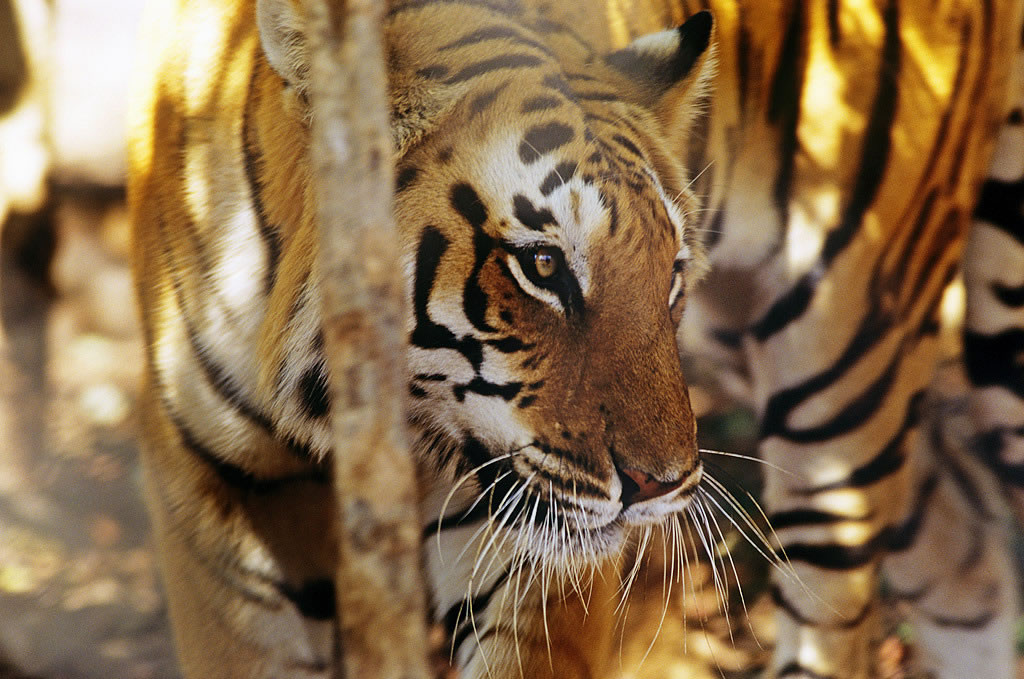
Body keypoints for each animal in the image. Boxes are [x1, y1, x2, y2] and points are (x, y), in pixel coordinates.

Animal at [126, 0, 1024, 678]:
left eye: (670, 271)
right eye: (543, 265)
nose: (663, 487)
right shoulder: (217, 498)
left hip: (849, 380)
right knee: (967, 553)